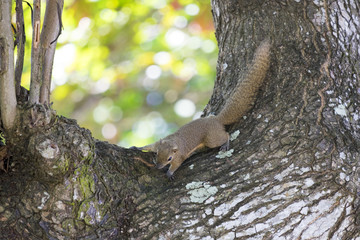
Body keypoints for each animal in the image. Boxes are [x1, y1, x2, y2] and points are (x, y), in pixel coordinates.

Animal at [131, 39, 270, 178]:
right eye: (157, 153)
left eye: (169, 158)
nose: (158, 166)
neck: (172, 141)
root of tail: (217, 120)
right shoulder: (158, 144)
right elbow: (149, 146)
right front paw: (137, 148)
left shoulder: (179, 156)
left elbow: (176, 165)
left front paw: (170, 173)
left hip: (212, 138)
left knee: (225, 135)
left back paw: (225, 144)